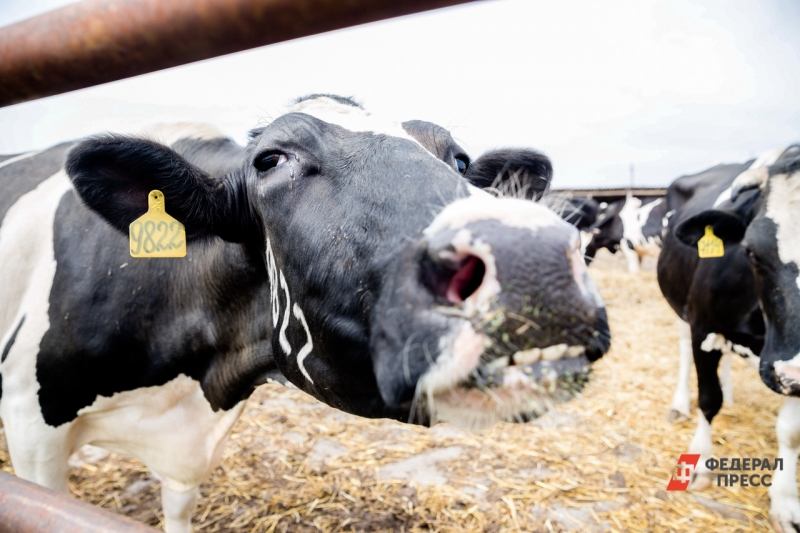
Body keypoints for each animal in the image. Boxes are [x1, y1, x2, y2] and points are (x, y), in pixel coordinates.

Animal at [656, 147, 800, 532]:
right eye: (751, 250)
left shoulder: (789, 366)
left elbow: (791, 431)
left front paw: (785, 502)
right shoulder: (702, 327)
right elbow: (709, 399)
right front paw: (700, 463)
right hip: (680, 308)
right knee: (682, 354)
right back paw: (679, 403)